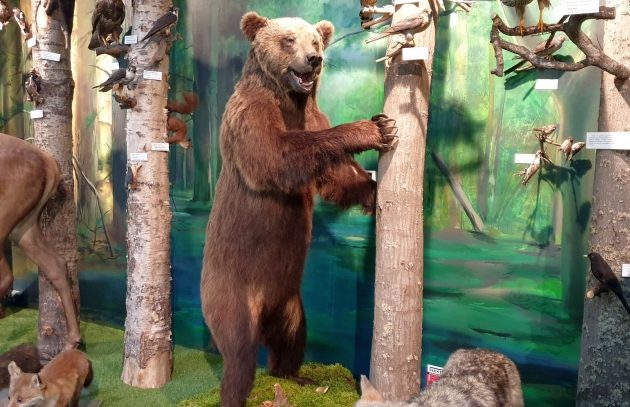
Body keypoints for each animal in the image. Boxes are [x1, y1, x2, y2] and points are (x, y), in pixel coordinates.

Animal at [201, 11, 400, 406]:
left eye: (316, 40)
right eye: (288, 39)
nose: (314, 59)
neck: (290, 100)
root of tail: (264, 309)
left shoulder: (312, 115)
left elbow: (336, 177)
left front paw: (373, 188)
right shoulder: (250, 114)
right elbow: (276, 156)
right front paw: (372, 128)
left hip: (290, 301)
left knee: (292, 338)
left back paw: (297, 376)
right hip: (231, 292)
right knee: (240, 353)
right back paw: (238, 390)